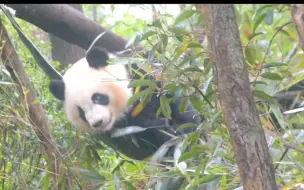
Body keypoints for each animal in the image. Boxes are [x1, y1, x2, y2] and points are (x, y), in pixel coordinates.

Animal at [49, 45, 202, 159]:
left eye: (97, 98)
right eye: (81, 112)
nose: (98, 122)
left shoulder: (142, 77)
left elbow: (175, 103)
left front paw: (187, 128)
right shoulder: (119, 135)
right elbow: (143, 138)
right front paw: (161, 127)